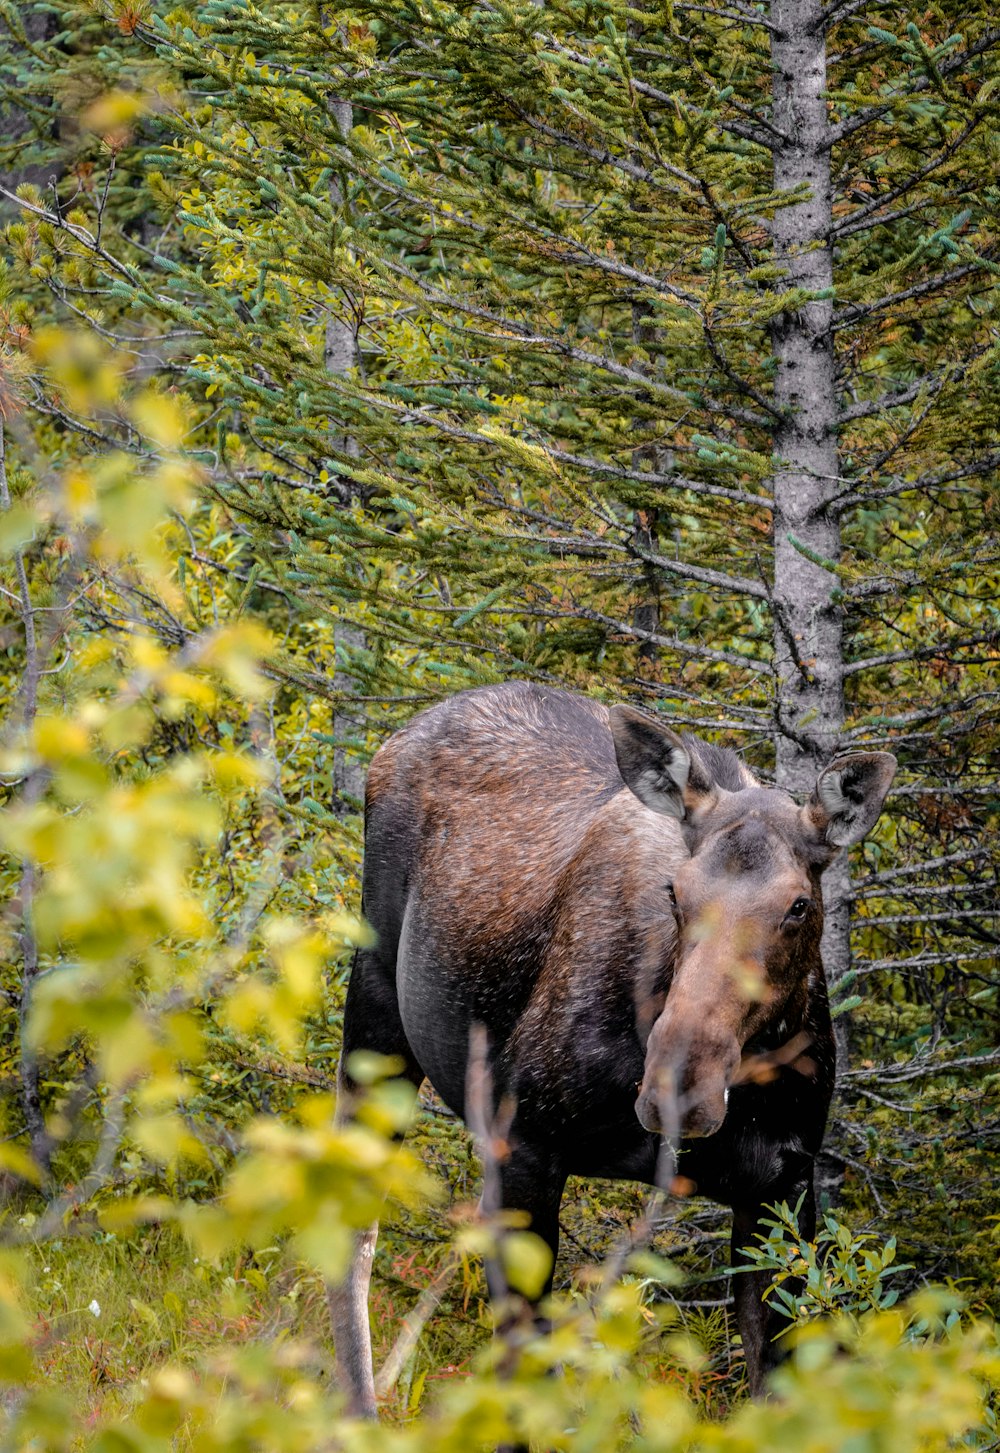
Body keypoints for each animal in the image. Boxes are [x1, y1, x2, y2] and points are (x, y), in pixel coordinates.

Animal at [329, 685, 901, 1412]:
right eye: (676, 891)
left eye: (799, 904)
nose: (680, 1082)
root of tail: (401, 734)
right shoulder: (524, 1147)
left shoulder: (784, 1187)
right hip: (375, 1002)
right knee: (351, 1229)